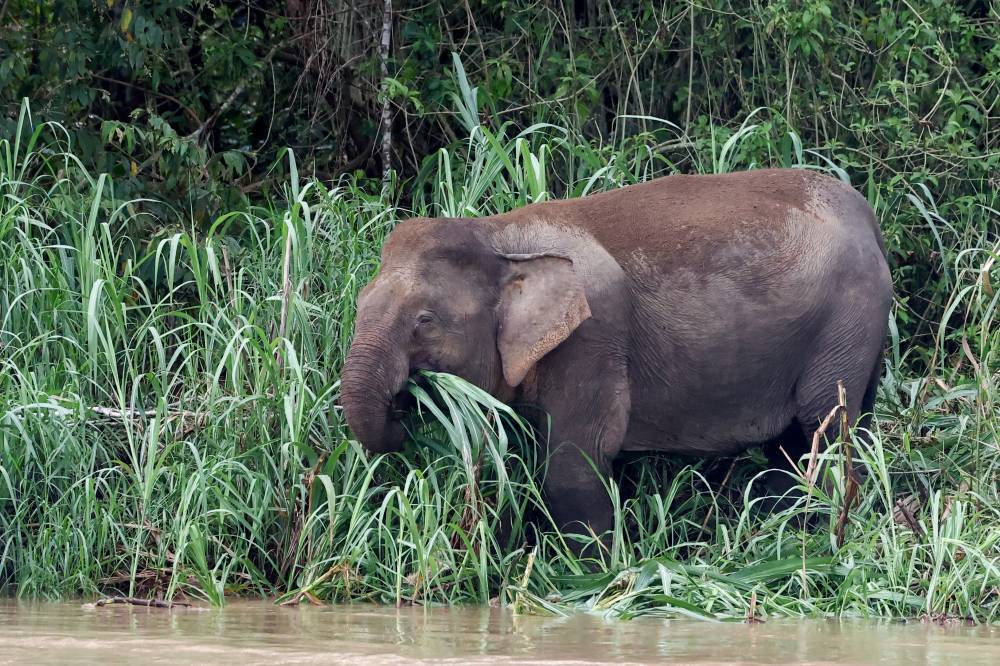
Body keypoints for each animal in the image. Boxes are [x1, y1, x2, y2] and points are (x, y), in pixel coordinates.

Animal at [339, 168, 892, 542]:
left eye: (424, 321)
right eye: (360, 303)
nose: (403, 413)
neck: (499, 235)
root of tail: (867, 212)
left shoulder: (594, 335)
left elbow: (575, 461)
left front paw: (589, 580)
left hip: (847, 319)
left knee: (824, 425)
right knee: (805, 440)